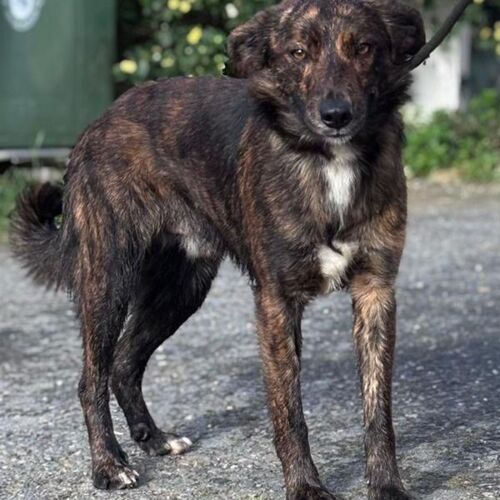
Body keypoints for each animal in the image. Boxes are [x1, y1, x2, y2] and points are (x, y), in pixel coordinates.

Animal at [10, 0, 425, 498]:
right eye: (298, 52)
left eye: (363, 47)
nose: (336, 114)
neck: (327, 161)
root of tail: (99, 121)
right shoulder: (276, 303)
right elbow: (289, 411)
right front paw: (305, 486)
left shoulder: (375, 291)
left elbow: (378, 408)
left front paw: (385, 484)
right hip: (107, 278)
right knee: (91, 377)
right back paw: (109, 465)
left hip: (182, 288)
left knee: (125, 363)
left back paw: (154, 438)